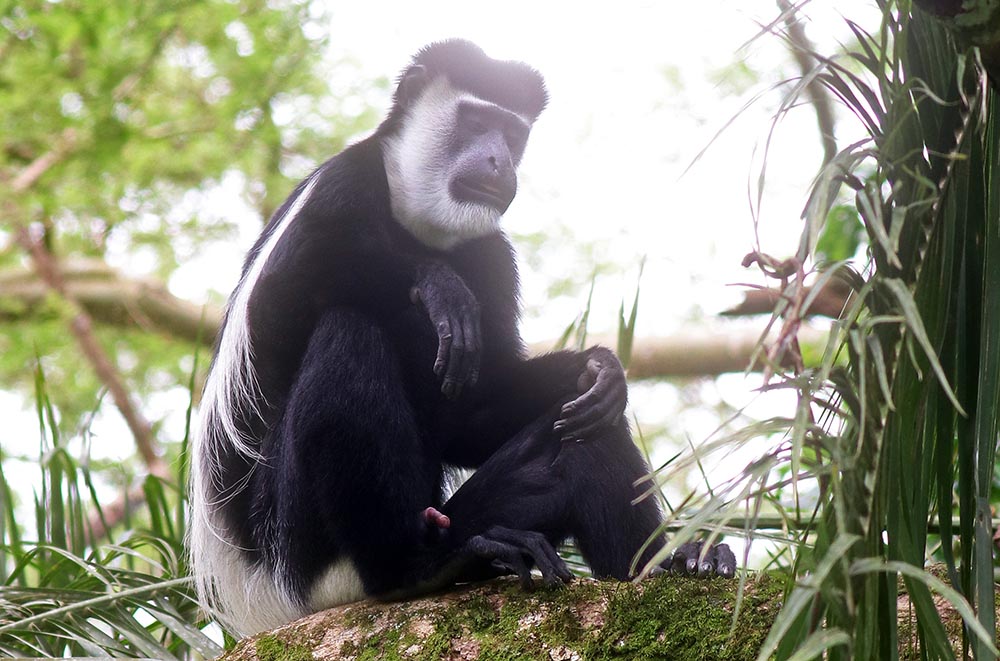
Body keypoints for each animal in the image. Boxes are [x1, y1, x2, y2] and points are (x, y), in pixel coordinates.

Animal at [189, 40, 736, 636]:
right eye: (476, 122)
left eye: (512, 134)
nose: (499, 161)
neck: (417, 221)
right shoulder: (341, 186)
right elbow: (278, 304)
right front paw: (437, 285)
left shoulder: (492, 253)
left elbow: (472, 413)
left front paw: (594, 368)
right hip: (297, 554)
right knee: (346, 330)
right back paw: (412, 571)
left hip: (460, 517)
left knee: (587, 435)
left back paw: (675, 564)